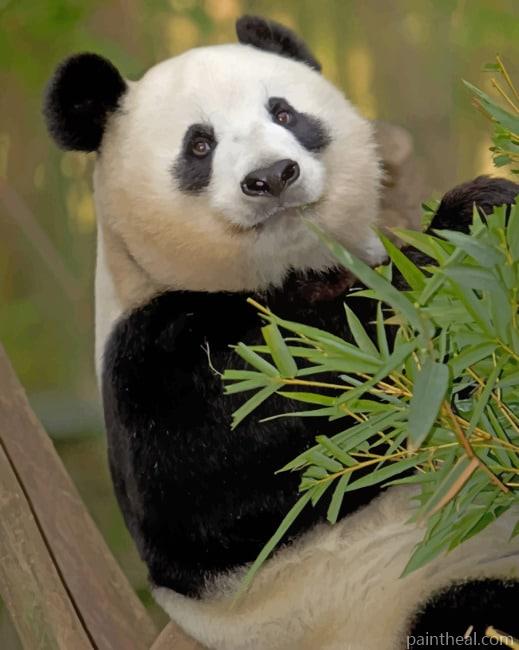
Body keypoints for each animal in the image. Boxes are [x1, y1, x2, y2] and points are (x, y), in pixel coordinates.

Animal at [43, 15, 519, 650]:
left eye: (285, 113)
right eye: (200, 145)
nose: (272, 176)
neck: (290, 272)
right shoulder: (146, 355)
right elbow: (249, 440)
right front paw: (470, 222)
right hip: (403, 602)